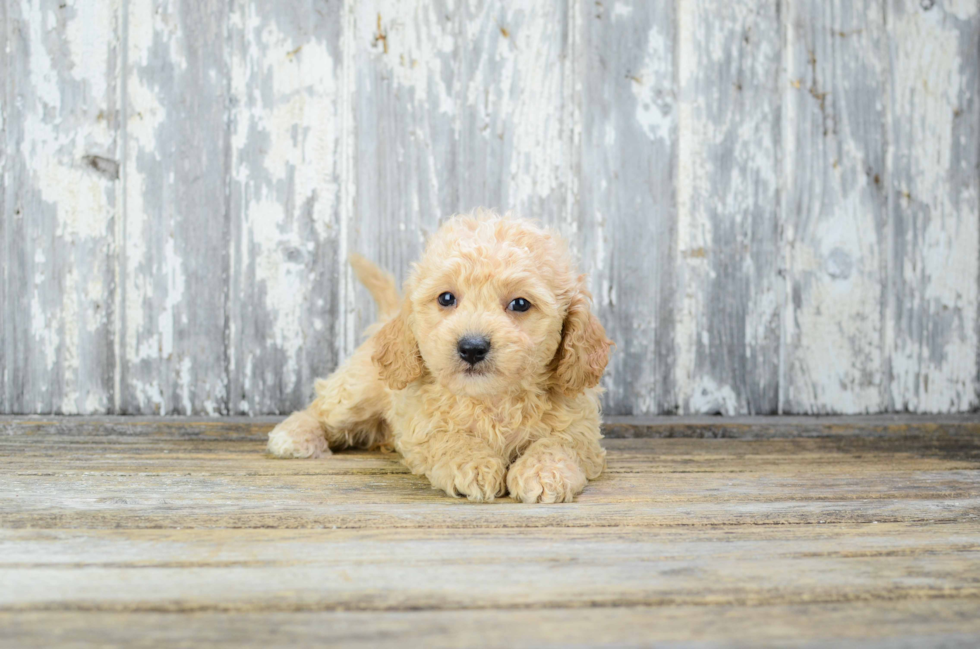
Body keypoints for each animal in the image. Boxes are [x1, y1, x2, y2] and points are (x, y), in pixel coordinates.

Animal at [268, 210, 612, 504]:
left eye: (520, 304)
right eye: (446, 298)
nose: (472, 347)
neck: (492, 399)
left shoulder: (580, 427)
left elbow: (558, 443)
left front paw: (543, 472)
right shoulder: (422, 424)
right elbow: (450, 439)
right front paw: (474, 465)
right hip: (358, 391)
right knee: (323, 408)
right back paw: (294, 434)